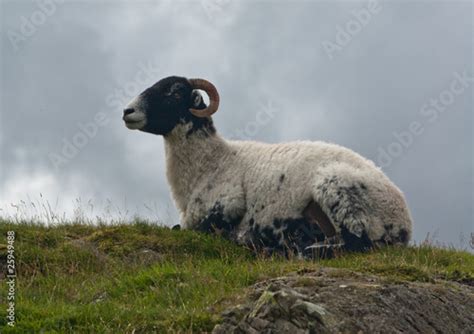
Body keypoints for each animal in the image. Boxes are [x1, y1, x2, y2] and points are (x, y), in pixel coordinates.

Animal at [122, 77, 412, 258]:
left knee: (357, 244)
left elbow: (190, 230)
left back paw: (295, 250)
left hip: (337, 187)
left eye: (175, 91)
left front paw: (242, 238)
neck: (214, 161)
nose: (127, 111)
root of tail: (404, 224)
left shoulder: (226, 206)